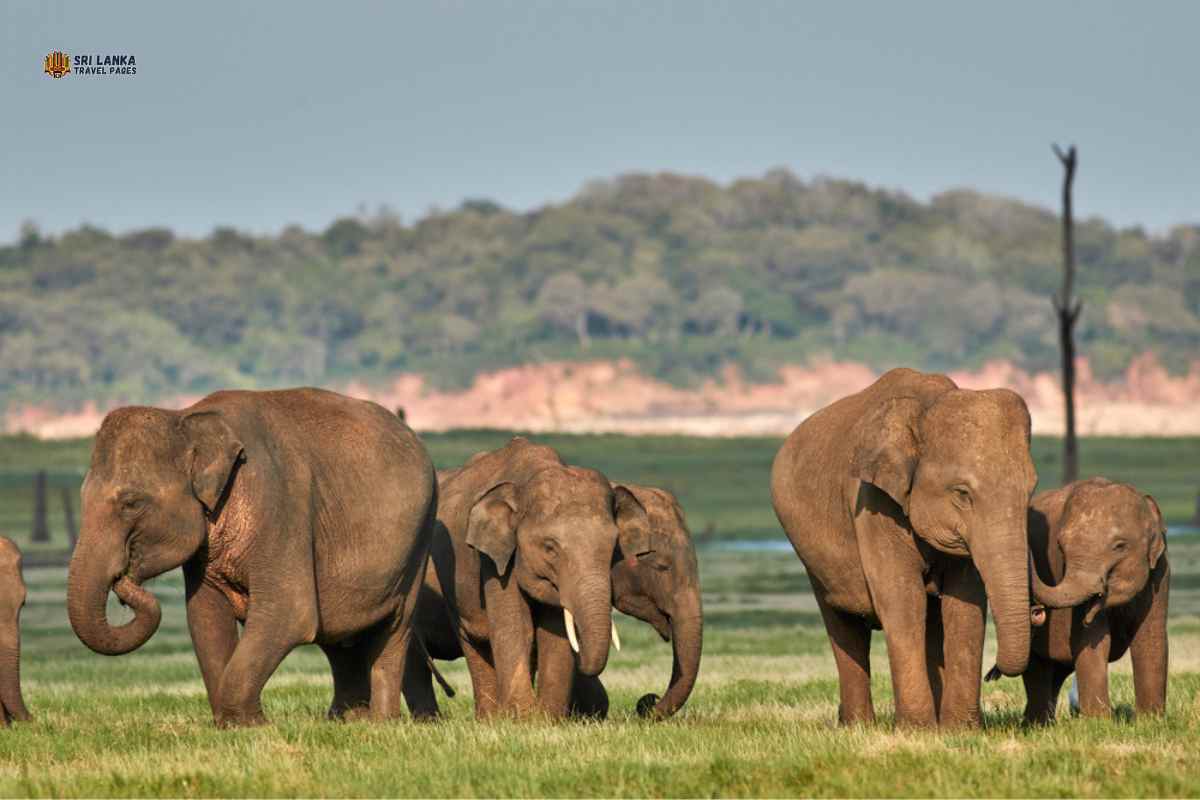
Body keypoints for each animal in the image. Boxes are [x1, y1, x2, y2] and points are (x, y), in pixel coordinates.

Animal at [65, 383, 436, 729]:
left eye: (131, 503)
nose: (124, 578)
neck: (186, 417)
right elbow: (205, 618)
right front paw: (231, 725)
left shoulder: (280, 507)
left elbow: (289, 614)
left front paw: (252, 724)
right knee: (339, 637)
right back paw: (344, 721)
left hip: (417, 544)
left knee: (394, 629)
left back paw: (381, 722)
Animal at [768, 367, 1041, 729]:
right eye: (962, 493)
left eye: (1031, 490)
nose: (1037, 612)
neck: (929, 402)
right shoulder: (872, 502)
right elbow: (903, 599)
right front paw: (917, 731)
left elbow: (964, 604)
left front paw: (959, 731)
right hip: (811, 556)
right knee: (842, 623)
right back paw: (857, 727)